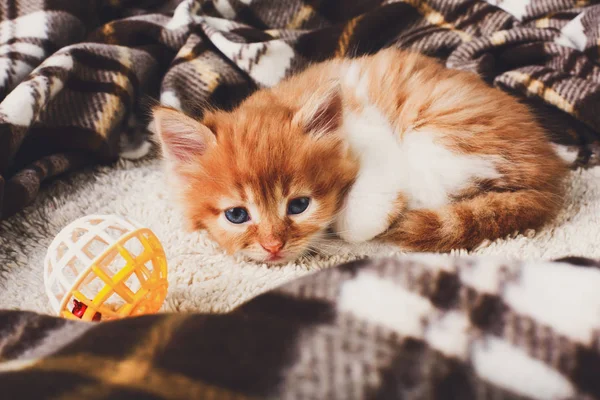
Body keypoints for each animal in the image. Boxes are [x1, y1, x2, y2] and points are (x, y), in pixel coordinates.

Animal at [155, 47, 568, 262]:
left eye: (298, 206)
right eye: (237, 215)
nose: (273, 246)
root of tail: (551, 177)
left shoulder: (375, 132)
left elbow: (358, 214)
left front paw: (363, 219)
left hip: (442, 130)